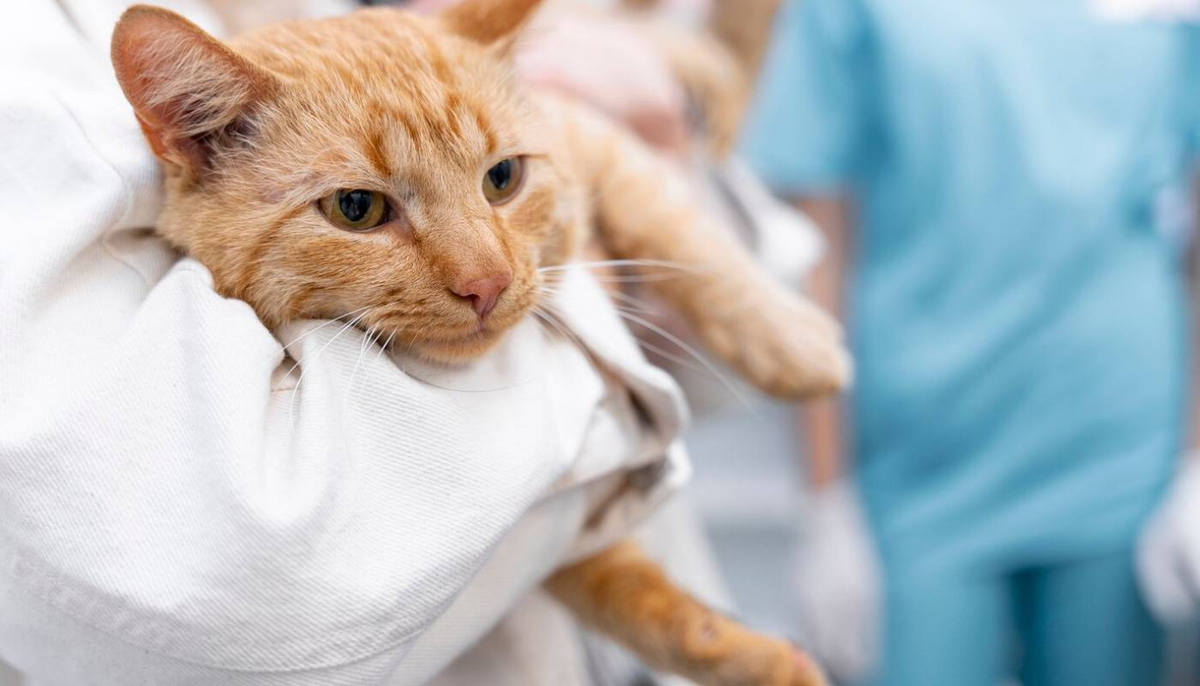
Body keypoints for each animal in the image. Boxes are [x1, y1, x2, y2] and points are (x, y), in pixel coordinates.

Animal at [110, 1, 848, 684]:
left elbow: (677, 229)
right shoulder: (550, 540)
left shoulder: (590, 134)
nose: (487, 283)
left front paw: (796, 346)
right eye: (357, 209)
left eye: (503, 178)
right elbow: (620, 583)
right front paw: (746, 653)